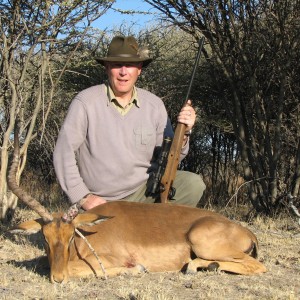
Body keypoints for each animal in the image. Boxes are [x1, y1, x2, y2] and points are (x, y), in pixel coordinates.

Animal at [7, 130, 266, 282]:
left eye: (71, 236)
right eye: (45, 237)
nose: (57, 278)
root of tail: (247, 232)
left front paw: (135, 269)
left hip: (201, 241)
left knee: (258, 266)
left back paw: (195, 267)